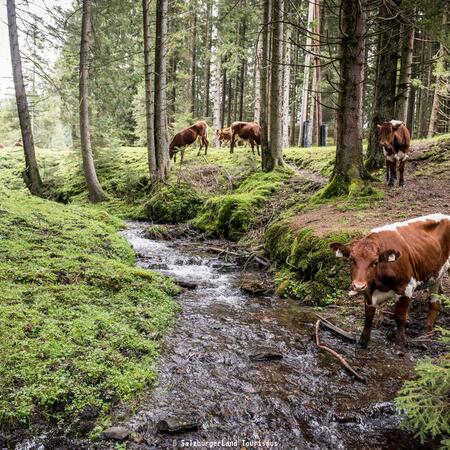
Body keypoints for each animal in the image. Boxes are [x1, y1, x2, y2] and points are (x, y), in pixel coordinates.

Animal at [330, 214, 450, 356]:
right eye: (351, 260)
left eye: (375, 262)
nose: (358, 286)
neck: (378, 283)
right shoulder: (369, 291)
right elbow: (368, 315)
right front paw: (362, 342)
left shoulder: (406, 288)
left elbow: (400, 317)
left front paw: (400, 346)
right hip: (436, 274)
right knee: (434, 303)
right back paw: (427, 334)